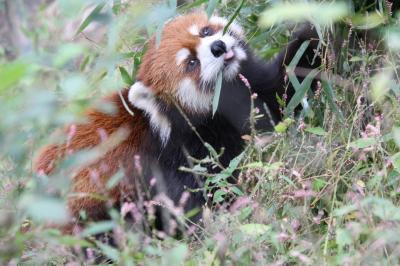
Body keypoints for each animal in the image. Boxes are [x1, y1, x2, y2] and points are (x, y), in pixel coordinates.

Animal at [35, 11, 322, 233]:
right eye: (191, 62)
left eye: (205, 31)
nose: (218, 47)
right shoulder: (181, 154)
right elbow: (206, 196)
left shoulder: (258, 91)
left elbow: (289, 81)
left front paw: (315, 28)